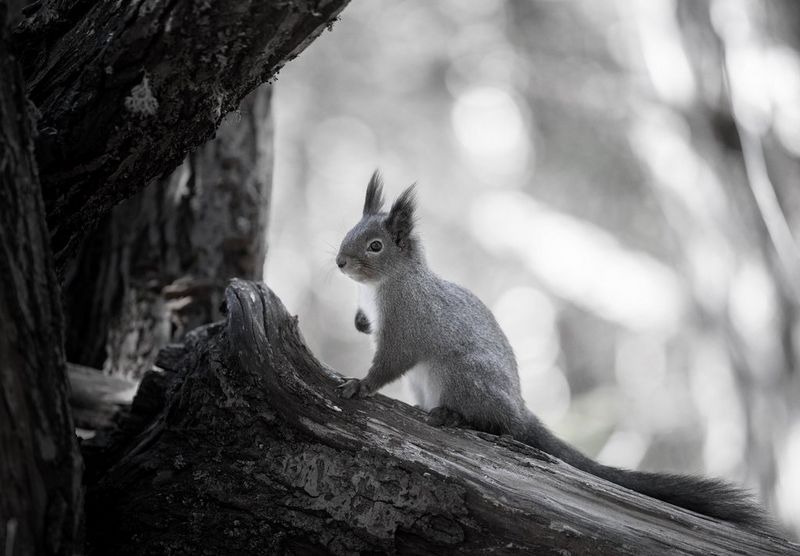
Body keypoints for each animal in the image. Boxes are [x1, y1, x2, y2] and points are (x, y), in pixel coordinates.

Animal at [336, 170, 766, 528]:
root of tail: (519, 408)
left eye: (375, 246)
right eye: (349, 231)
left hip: (462, 377)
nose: (339, 262)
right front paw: (358, 324)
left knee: (499, 424)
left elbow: (390, 362)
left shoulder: (407, 323)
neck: (386, 284)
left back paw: (454, 416)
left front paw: (360, 384)